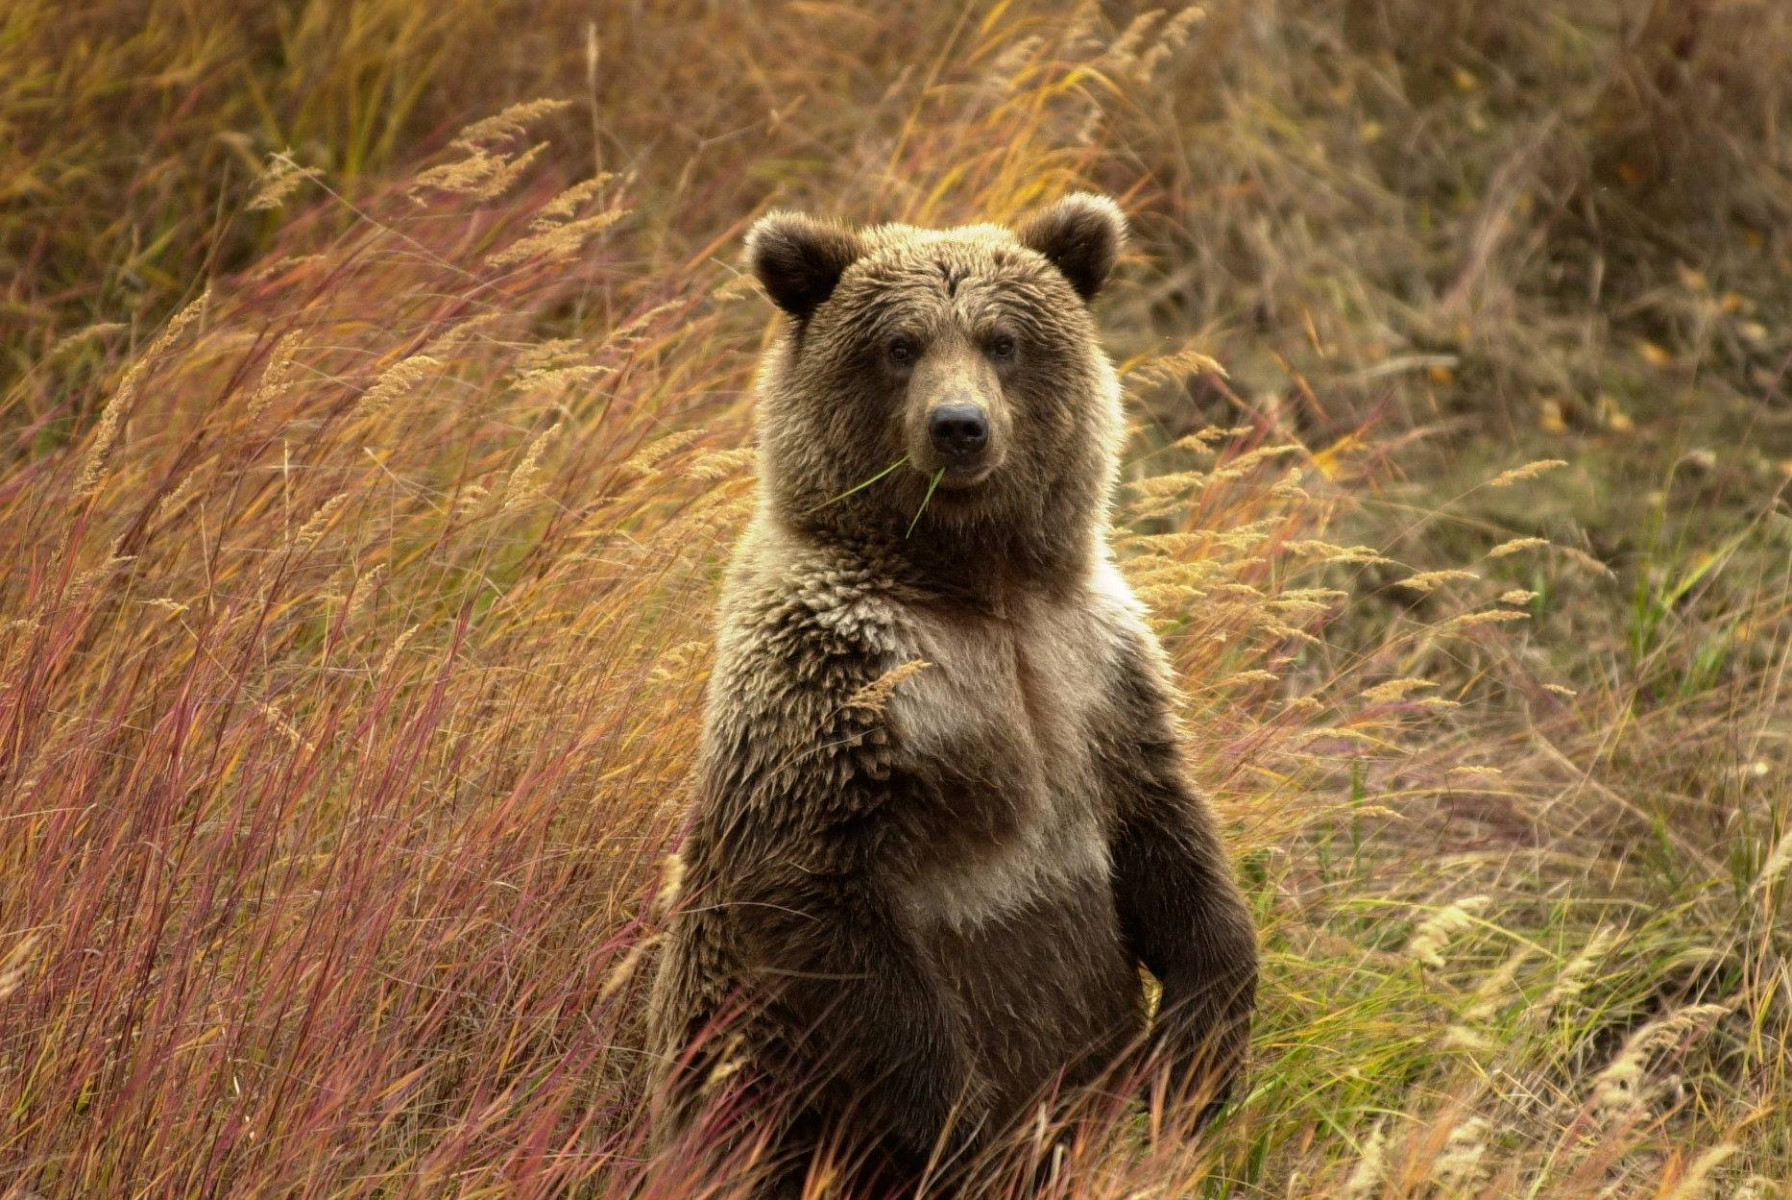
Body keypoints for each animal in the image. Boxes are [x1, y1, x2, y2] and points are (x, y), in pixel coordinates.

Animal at [648, 195, 1261, 1196]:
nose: (959, 425)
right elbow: (836, 913)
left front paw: (1197, 1050)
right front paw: (967, 1128)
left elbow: (1167, 830)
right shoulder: (839, 683)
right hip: (760, 1090)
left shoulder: (1096, 667)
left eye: (1002, 340)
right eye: (900, 344)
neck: (979, 587)